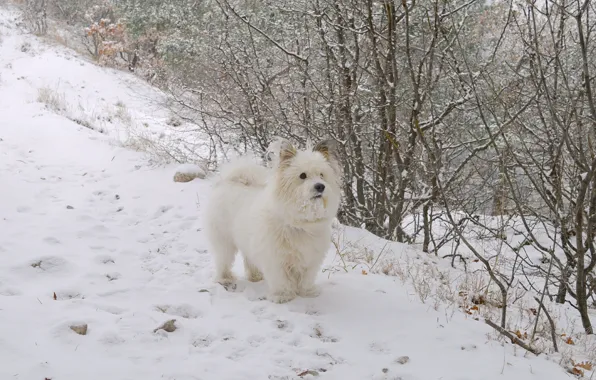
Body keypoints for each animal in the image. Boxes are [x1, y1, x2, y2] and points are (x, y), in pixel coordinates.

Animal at [204, 139, 340, 302]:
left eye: (321, 175)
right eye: (302, 176)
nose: (320, 186)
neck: (298, 223)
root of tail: (230, 181)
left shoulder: (310, 259)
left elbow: (306, 278)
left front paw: (307, 292)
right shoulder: (275, 259)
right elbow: (281, 279)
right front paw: (283, 295)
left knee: (249, 260)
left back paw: (255, 276)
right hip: (224, 241)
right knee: (223, 260)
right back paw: (224, 278)